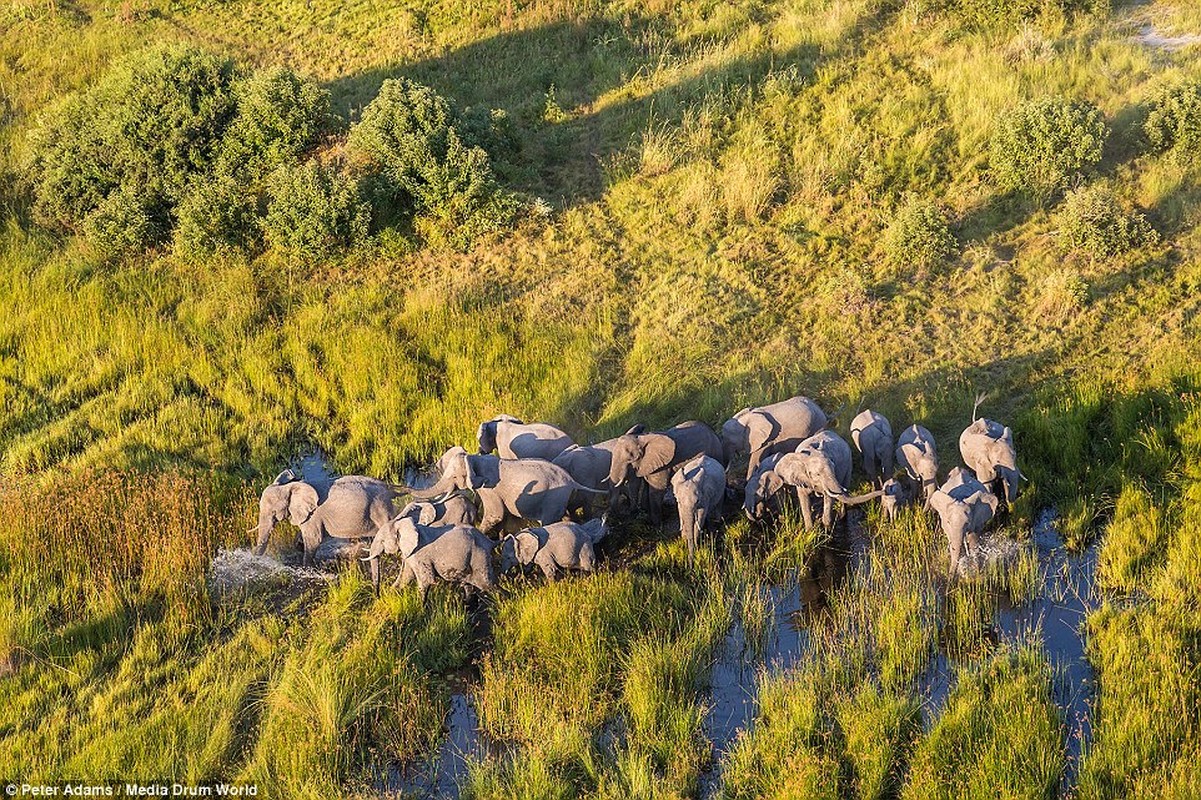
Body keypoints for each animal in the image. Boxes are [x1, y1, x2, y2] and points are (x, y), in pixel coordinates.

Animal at [253, 468, 398, 566]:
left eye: (273, 512)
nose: (255, 558)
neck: (292, 486)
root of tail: (388, 488)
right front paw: (299, 547)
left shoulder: (314, 515)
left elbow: (313, 540)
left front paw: (307, 567)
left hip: (380, 507)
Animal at [413, 451, 605, 533]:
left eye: (454, 476)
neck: (474, 458)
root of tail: (571, 480)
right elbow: (501, 517)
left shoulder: (489, 488)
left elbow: (495, 515)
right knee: (565, 516)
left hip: (553, 498)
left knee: (550, 521)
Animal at [749, 430, 883, 528]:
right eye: (817, 474)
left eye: (834, 467)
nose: (884, 491)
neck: (807, 455)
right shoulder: (800, 479)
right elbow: (804, 500)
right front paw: (810, 531)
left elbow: (829, 498)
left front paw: (827, 532)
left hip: (849, 462)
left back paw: (842, 517)